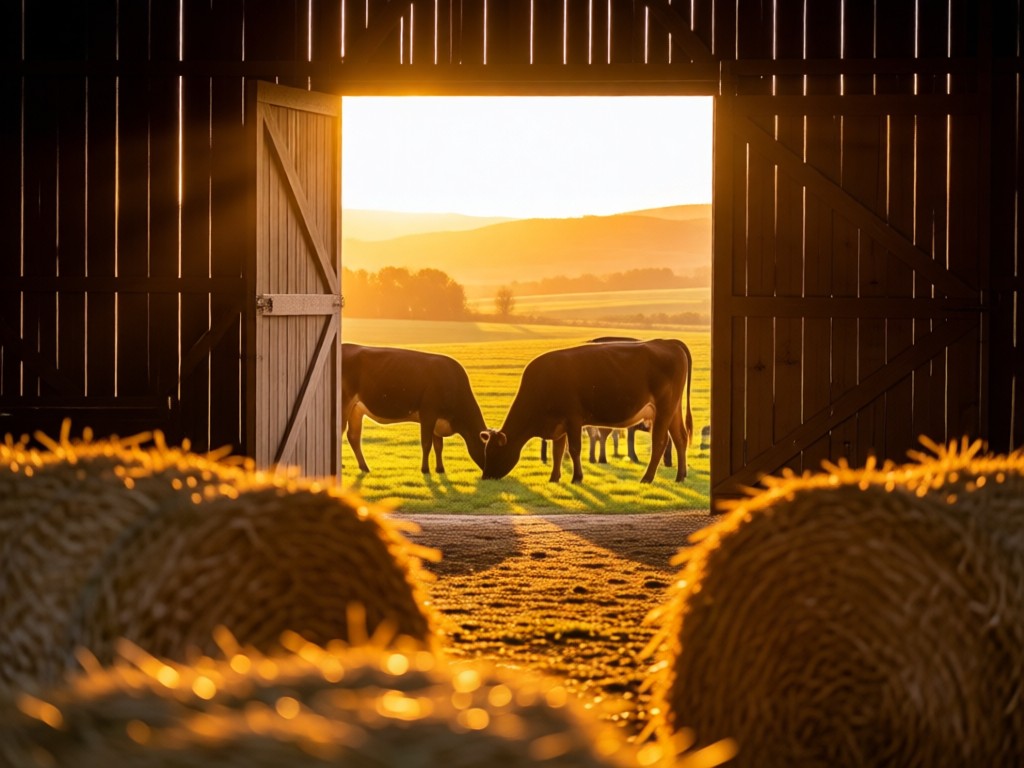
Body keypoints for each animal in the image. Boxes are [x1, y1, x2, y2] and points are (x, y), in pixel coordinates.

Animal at [341, 343, 487, 474]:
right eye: (488, 449)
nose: (492, 476)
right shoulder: (428, 414)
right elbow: (427, 444)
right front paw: (425, 469)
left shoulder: (437, 420)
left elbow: (438, 446)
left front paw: (440, 469)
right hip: (344, 403)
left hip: (356, 410)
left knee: (353, 436)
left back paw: (364, 467)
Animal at [480, 338, 693, 484]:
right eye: (486, 451)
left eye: (495, 452)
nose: (485, 476)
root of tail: (666, 342)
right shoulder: (558, 424)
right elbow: (558, 451)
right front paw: (554, 478)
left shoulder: (573, 419)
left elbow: (574, 449)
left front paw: (577, 478)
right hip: (673, 410)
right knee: (680, 438)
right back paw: (680, 476)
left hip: (664, 409)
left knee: (660, 442)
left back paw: (647, 478)